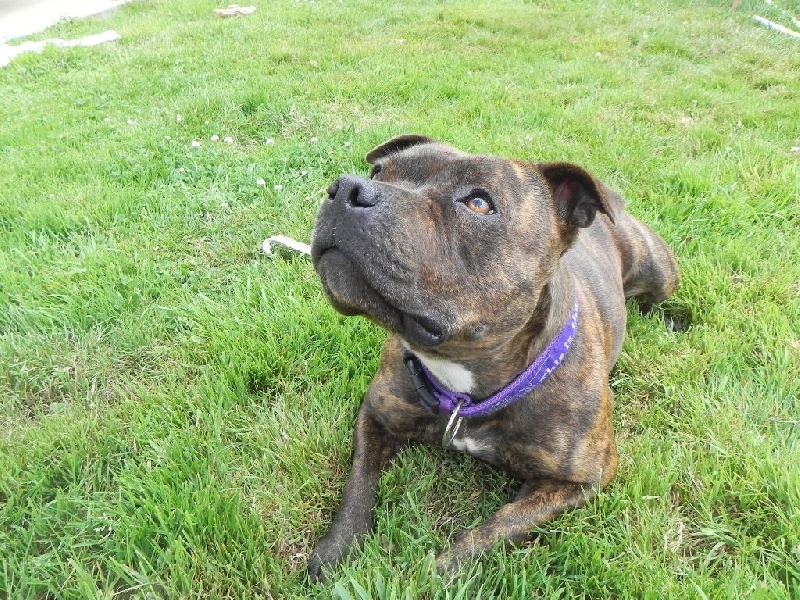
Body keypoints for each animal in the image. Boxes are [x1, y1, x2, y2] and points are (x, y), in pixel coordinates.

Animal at [304, 135, 676, 580]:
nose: (347, 188)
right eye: (379, 172)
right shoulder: (376, 413)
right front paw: (335, 552)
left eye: (479, 203)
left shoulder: (584, 478)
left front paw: (430, 575)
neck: (467, 381)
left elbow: (496, 529)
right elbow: (359, 483)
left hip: (660, 271)